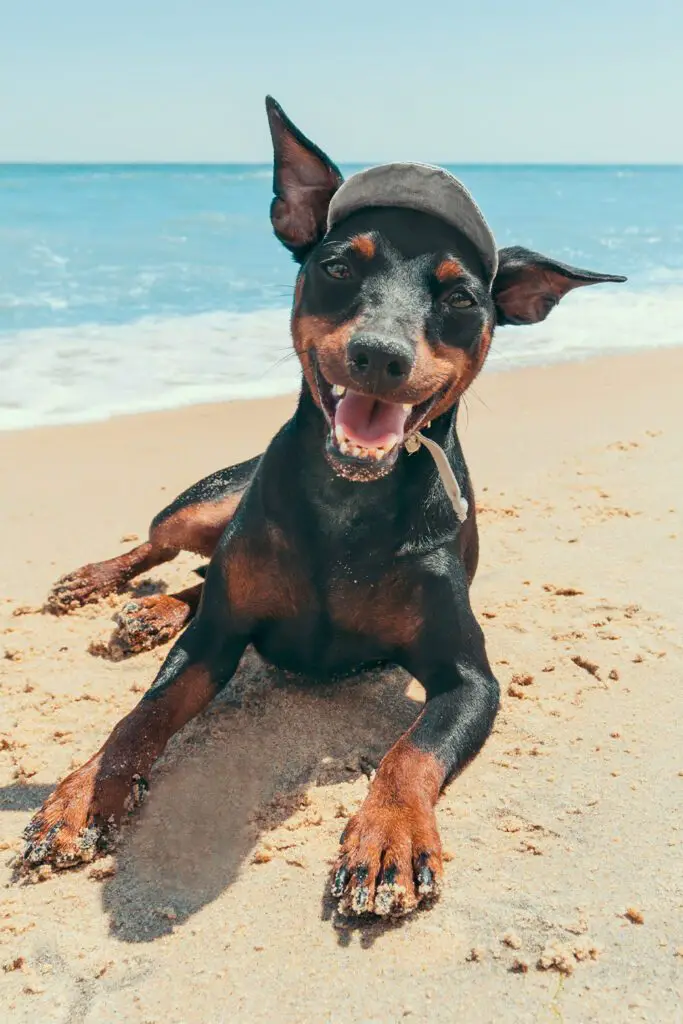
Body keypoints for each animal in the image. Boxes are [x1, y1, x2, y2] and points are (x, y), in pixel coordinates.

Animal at [25, 97, 626, 921]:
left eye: (461, 298)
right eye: (338, 266)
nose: (379, 354)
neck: (349, 500)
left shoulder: (469, 678)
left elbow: (409, 753)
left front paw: (388, 838)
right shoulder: (214, 642)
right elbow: (141, 714)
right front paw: (83, 797)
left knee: (202, 578)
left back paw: (151, 612)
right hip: (214, 499)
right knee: (167, 546)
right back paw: (105, 586)